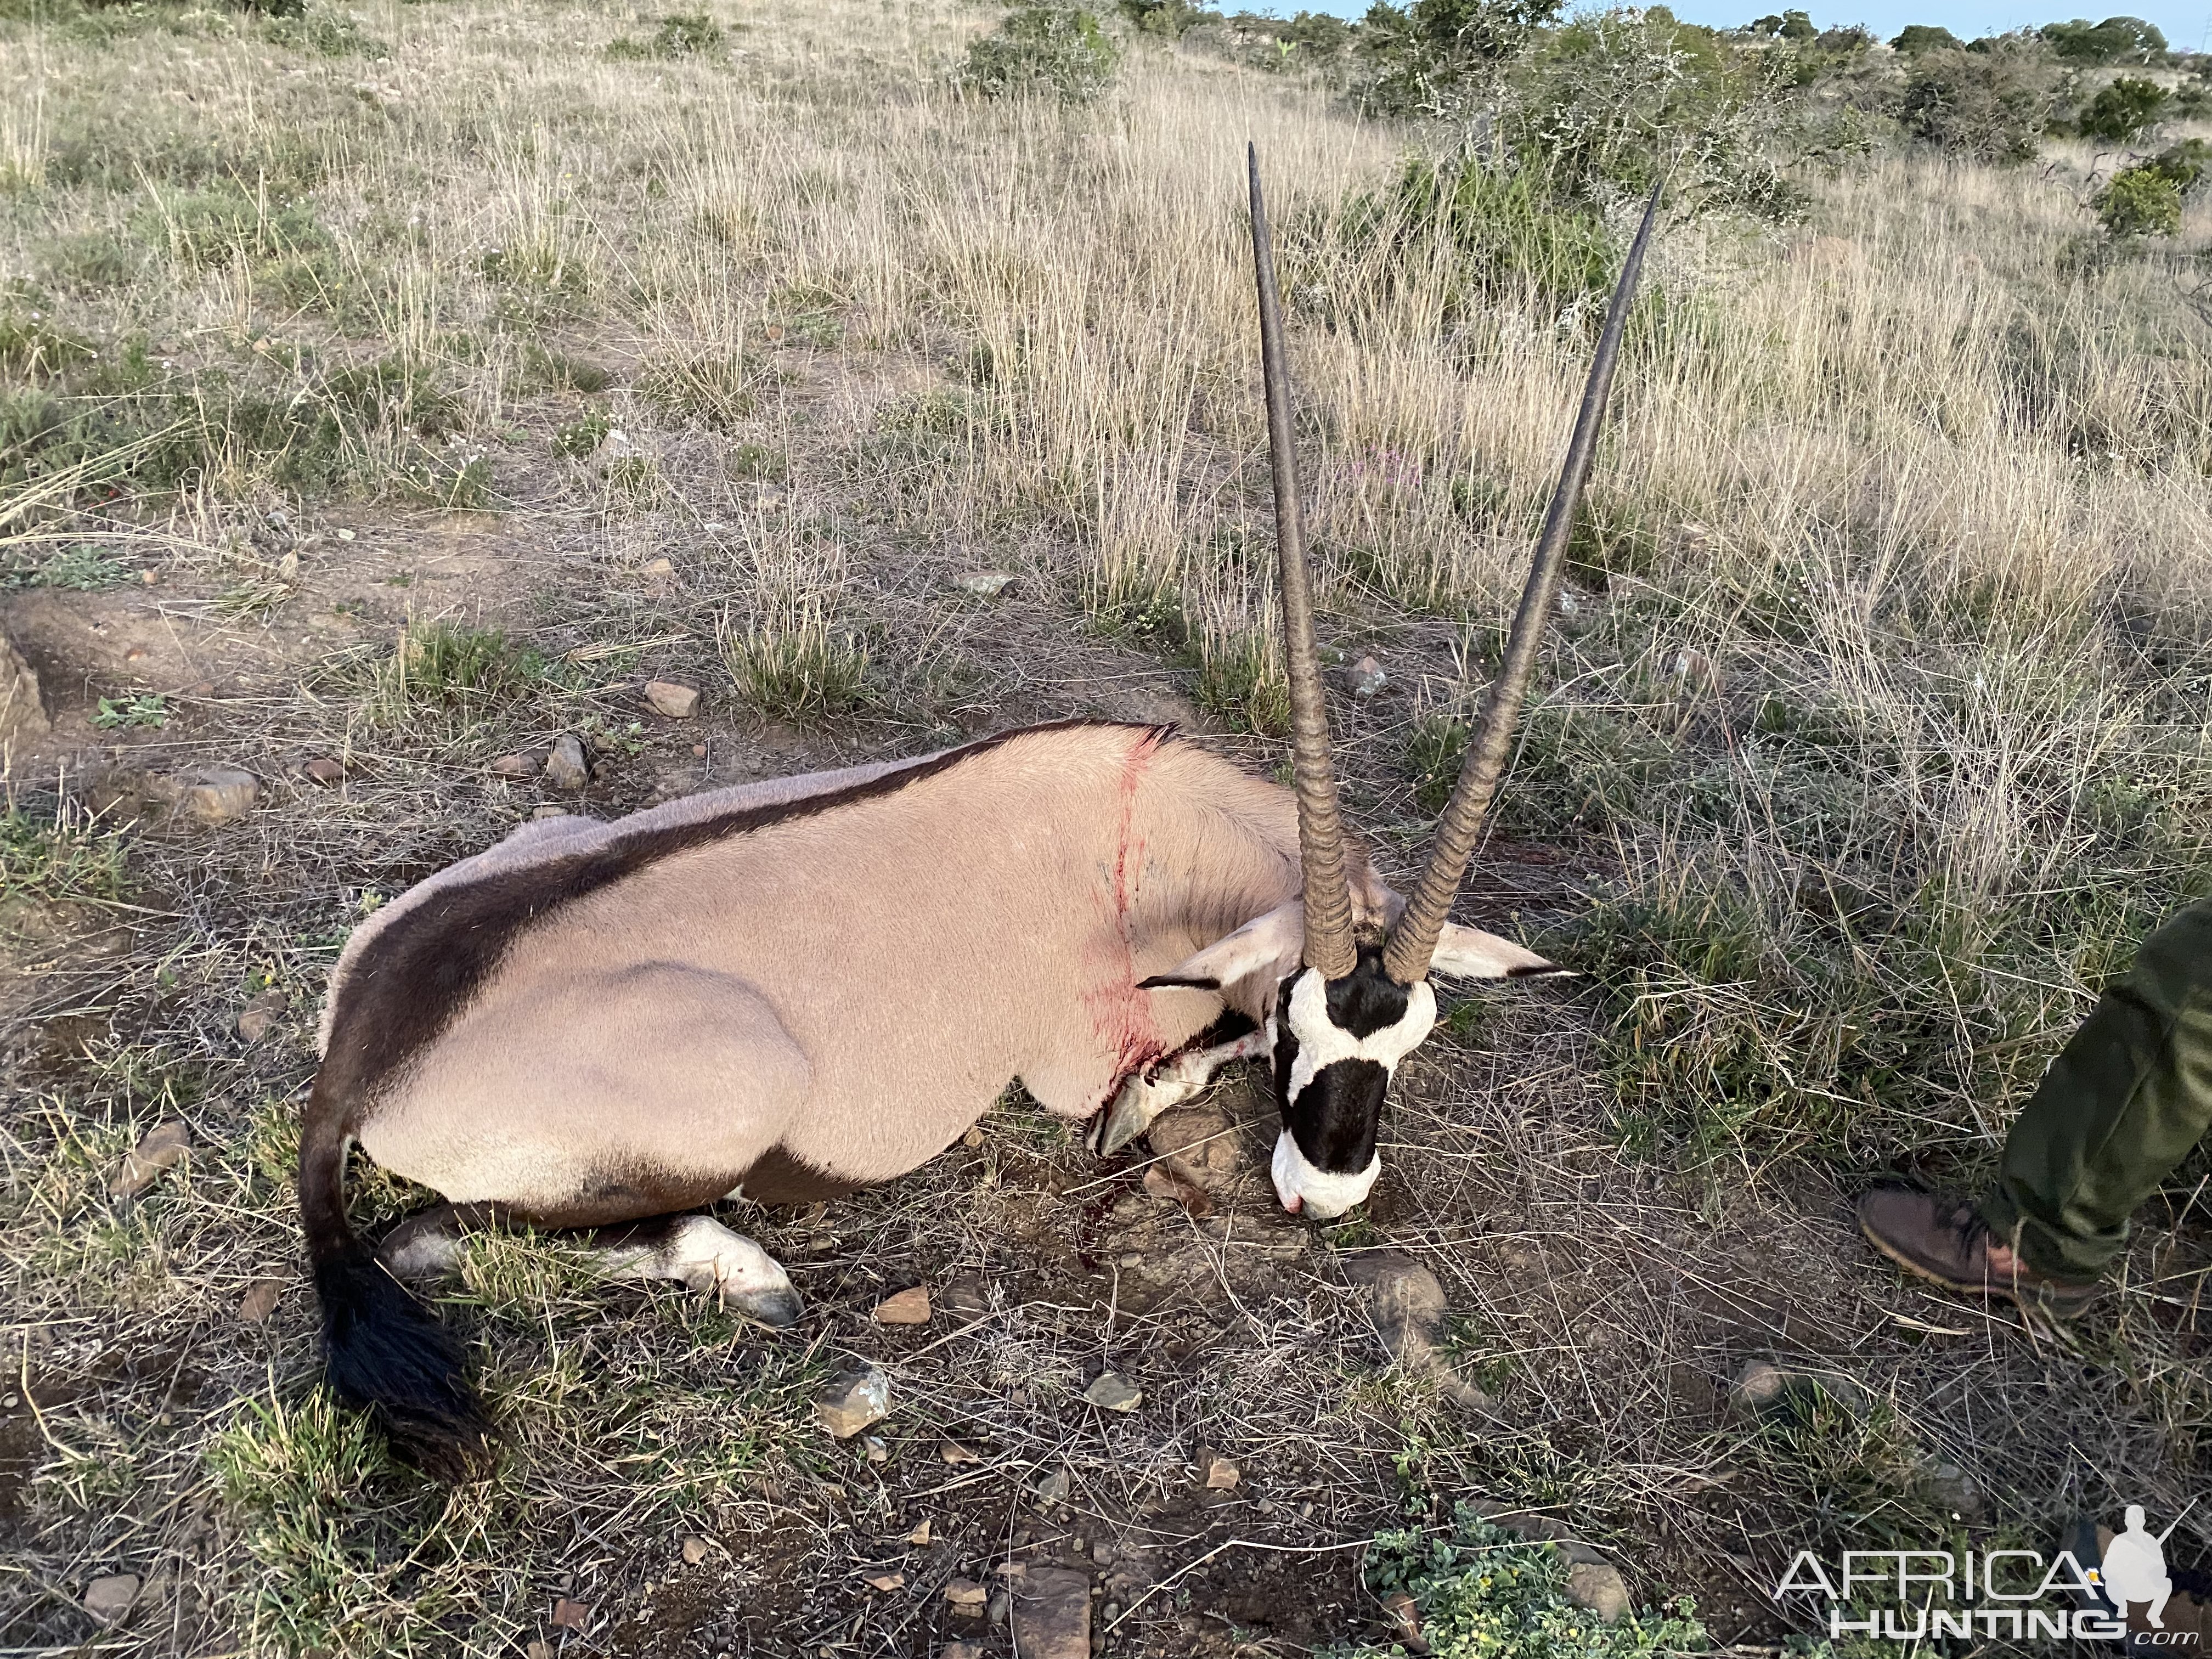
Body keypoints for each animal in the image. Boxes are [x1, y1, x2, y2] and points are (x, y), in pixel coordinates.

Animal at [307, 153, 1663, 1477]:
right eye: (1296, 1016)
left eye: (1412, 1033)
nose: (1323, 1199)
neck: (1140, 826)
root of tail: (357, 1057)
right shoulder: (1075, 1060)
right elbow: (1169, 1068)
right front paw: (1148, 1104)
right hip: (733, 1093)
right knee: (434, 1237)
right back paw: (749, 1272)